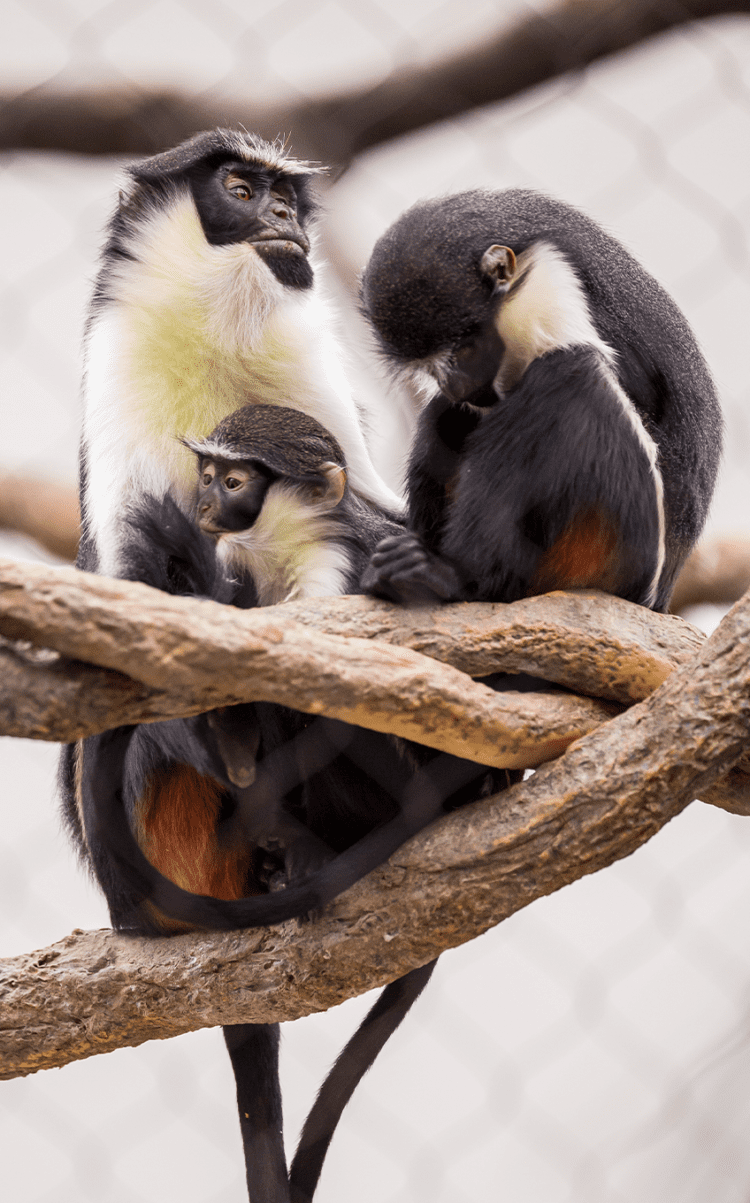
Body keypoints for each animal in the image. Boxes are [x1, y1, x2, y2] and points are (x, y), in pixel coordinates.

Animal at [361, 192, 727, 615]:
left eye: (465, 350)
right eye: (427, 366)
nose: (454, 385)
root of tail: (660, 595)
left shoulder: (553, 286)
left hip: (618, 553)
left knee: (572, 374)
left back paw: (458, 577)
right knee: (448, 415)